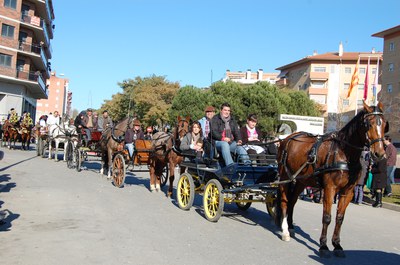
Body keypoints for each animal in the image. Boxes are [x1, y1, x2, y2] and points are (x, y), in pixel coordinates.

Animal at [276, 100, 386, 256]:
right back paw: (285, 231)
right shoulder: (330, 189)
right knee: (285, 202)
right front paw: (323, 245)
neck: (343, 153)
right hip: (285, 177)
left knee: (292, 202)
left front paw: (337, 244)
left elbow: (340, 218)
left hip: (301, 181)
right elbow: (327, 217)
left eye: (384, 124)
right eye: (368, 124)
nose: (379, 153)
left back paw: (291, 227)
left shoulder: (347, 192)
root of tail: (288, 138)